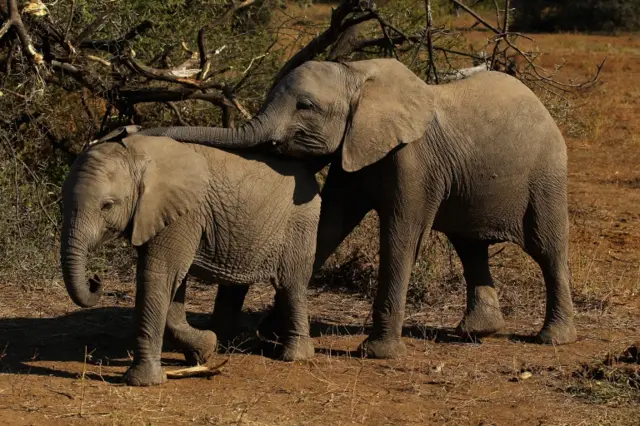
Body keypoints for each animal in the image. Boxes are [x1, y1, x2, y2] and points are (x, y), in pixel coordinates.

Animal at [60, 136, 320, 386]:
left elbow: (157, 276)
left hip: (300, 222)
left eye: (107, 205)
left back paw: (294, 355)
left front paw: (143, 382)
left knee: (291, 284)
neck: (137, 156)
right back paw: (227, 343)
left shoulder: (182, 214)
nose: (95, 279)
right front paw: (204, 349)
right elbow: (172, 284)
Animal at [141, 56, 580, 356]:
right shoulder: (354, 151)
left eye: (306, 106)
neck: (356, 75)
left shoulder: (414, 159)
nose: (133, 129)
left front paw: (377, 352)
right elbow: (330, 223)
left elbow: (402, 235)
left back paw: (553, 338)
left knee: (546, 247)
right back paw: (476, 332)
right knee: (469, 245)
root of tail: (541, 105)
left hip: (546, 172)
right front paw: (268, 330)